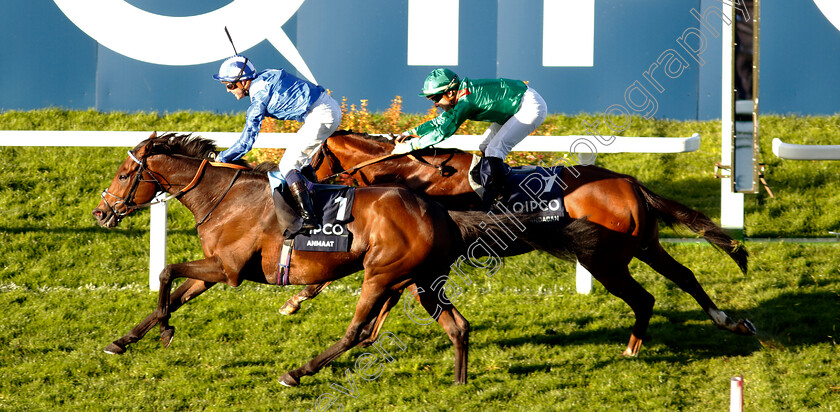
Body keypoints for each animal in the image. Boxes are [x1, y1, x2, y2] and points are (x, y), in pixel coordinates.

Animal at [88, 132, 498, 386]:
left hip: (380, 275)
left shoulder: (228, 268)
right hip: (421, 280)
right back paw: (459, 385)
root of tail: (439, 211)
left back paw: (297, 373)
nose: (100, 212)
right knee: (457, 327)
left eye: (124, 175)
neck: (222, 196)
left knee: (357, 332)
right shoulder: (212, 269)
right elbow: (173, 292)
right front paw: (123, 340)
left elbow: (165, 272)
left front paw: (164, 329)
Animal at [280, 130, 756, 356]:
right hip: (643, 245)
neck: (412, 175)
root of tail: (629, 183)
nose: (301, 187)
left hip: (606, 260)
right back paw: (728, 321)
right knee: (685, 276)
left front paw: (296, 300)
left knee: (645, 297)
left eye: (313, 156)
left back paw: (633, 346)